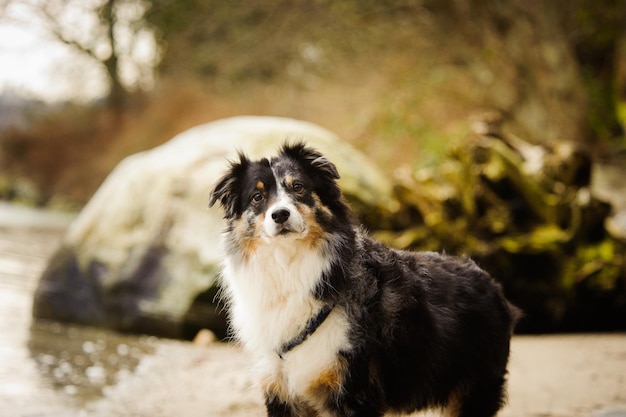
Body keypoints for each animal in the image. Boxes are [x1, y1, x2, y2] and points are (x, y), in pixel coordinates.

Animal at [210, 141, 516, 414]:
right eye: (257, 197)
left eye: (298, 187)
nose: (280, 214)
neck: (288, 265)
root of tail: (492, 283)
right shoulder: (280, 391)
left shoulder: (353, 389)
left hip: (474, 390)